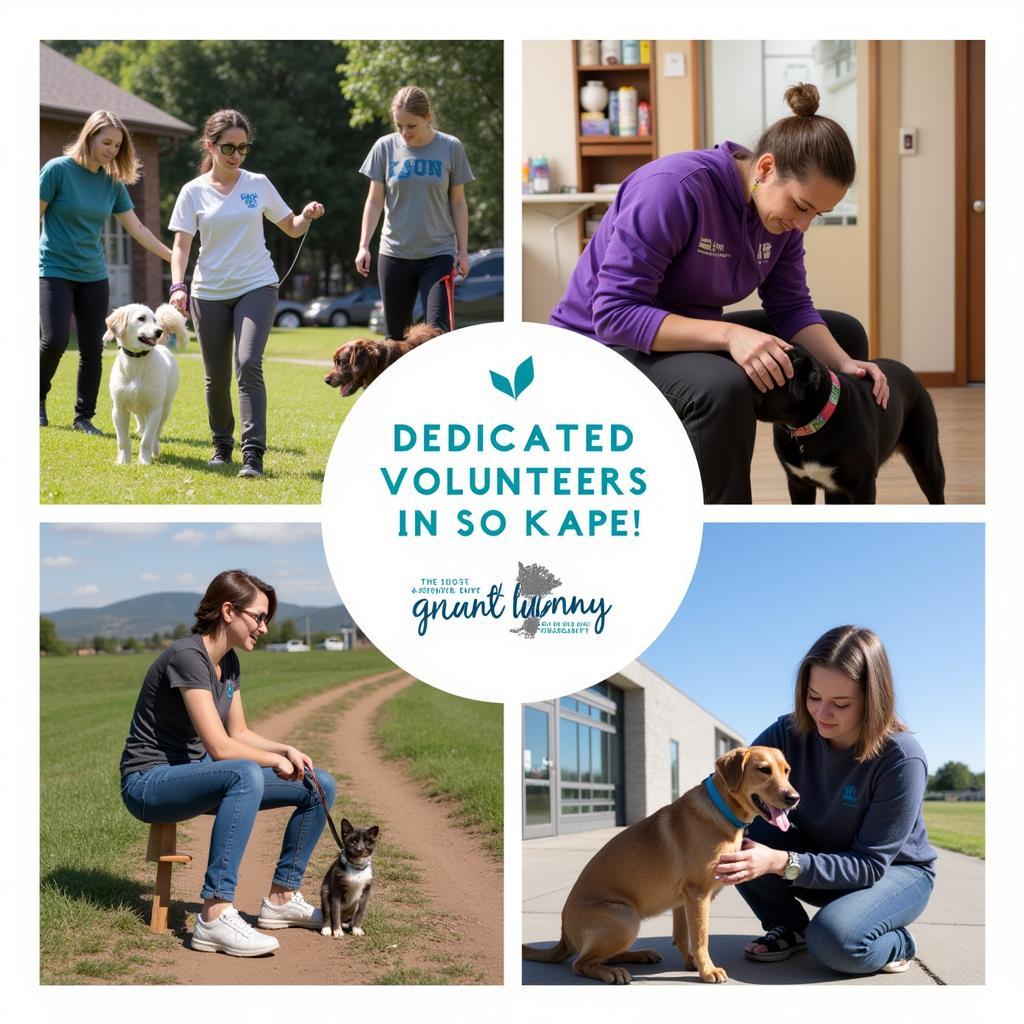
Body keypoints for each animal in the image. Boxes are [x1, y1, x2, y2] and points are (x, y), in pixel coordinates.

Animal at [102, 301, 189, 466]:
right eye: (141, 318)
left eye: (155, 320)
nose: (159, 331)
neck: (137, 361)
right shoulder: (119, 409)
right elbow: (123, 440)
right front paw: (123, 460)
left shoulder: (155, 408)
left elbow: (147, 439)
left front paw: (144, 460)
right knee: (142, 425)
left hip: (165, 409)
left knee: (156, 433)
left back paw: (155, 450)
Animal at [520, 745, 798, 983]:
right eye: (763, 769)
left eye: (786, 771)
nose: (794, 798)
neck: (722, 810)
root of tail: (564, 935)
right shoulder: (697, 894)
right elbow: (700, 937)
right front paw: (707, 970)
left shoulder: (683, 900)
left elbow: (683, 936)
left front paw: (692, 964)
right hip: (626, 918)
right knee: (581, 964)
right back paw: (613, 973)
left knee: (601, 956)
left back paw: (639, 955)